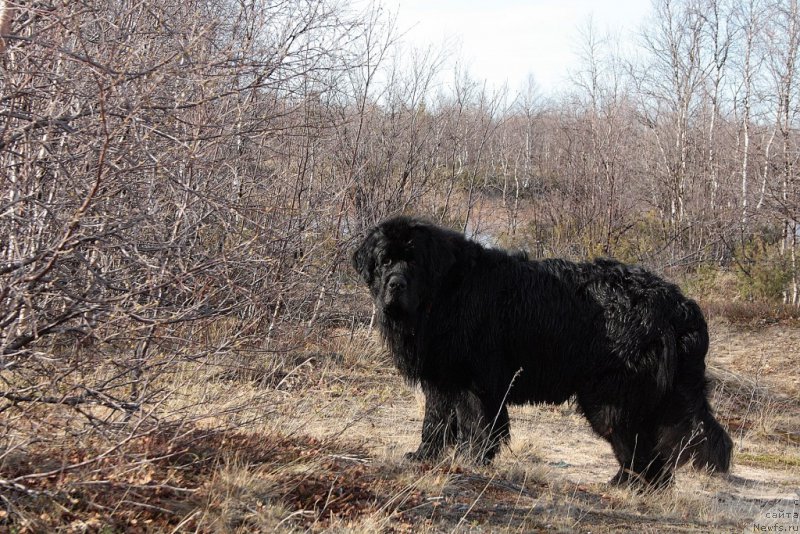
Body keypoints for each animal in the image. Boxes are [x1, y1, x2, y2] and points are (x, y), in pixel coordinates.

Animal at [354, 217, 736, 490]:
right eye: (385, 260)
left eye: (413, 262)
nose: (395, 284)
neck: (444, 292)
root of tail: (679, 306)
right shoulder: (442, 376)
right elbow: (435, 421)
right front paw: (424, 456)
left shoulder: (478, 380)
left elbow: (476, 424)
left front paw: (472, 461)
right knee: (652, 451)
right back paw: (631, 485)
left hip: (611, 398)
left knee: (639, 446)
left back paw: (627, 485)